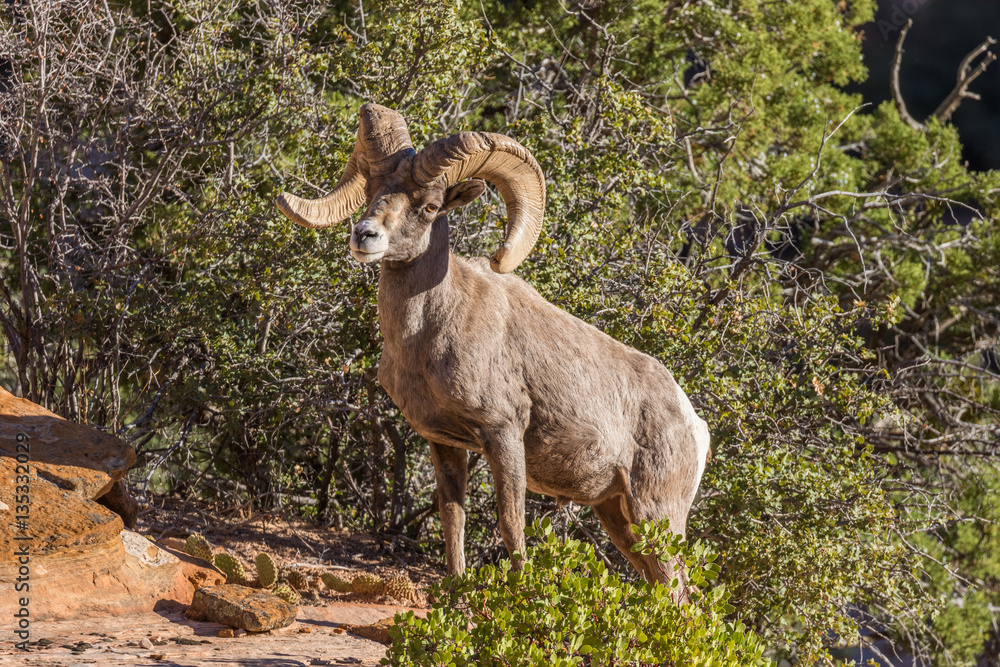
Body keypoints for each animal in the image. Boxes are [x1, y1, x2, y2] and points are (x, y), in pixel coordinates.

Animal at [276, 104, 711, 584]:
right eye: (372, 191)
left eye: (430, 206)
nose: (365, 235)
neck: (427, 334)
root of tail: (695, 425)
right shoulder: (444, 442)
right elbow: (453, 519)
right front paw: (456, 589)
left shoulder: (503, 433)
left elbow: (511, 525)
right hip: (616, 515)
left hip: (655, 514)